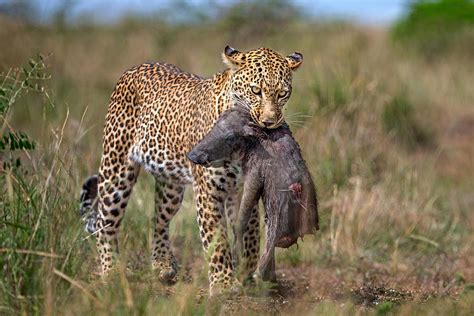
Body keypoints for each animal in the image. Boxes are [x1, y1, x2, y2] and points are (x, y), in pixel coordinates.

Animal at [80, 45, 304, 296]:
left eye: (283, 93)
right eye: (256, 91)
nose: (269, 122)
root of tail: (136, 67)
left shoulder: (242, 190)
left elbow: (250, 233)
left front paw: (247, 274)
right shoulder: (208, 190)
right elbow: (217, 238)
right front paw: (224, 283)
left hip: (171, 187)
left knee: (158, 220)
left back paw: (162, 264)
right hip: (117, 169)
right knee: (105, 220)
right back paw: (111, 270)